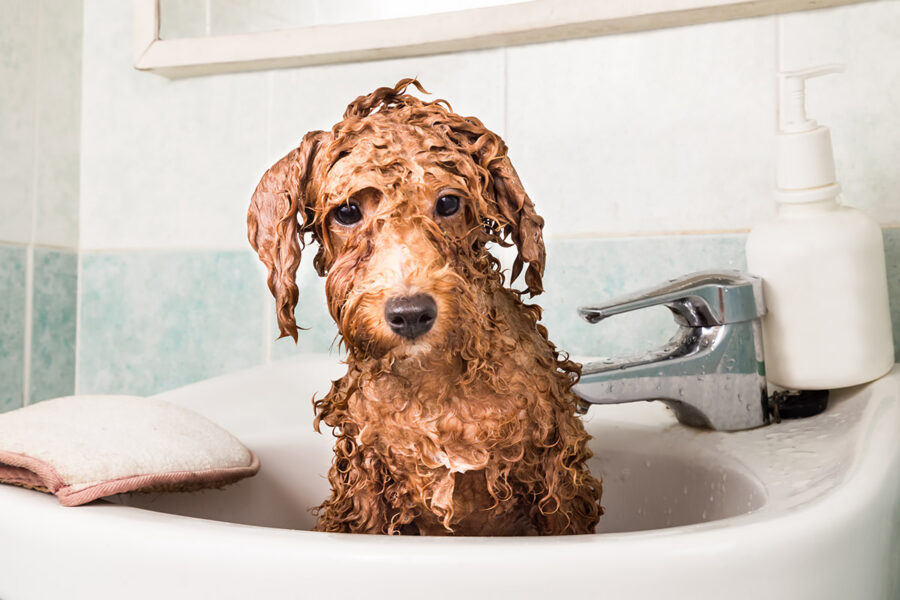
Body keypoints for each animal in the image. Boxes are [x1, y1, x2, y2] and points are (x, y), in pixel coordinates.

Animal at [246, 78, 600, 536]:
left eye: (448, 203)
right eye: (347, 210)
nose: (410, 313)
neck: (434, 390)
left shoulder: (556, 479)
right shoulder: (364, 484)